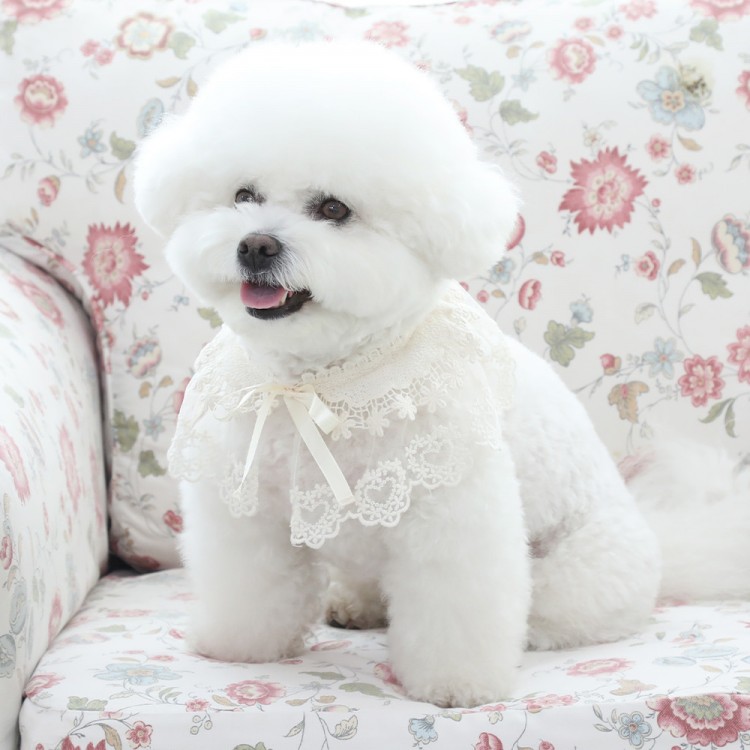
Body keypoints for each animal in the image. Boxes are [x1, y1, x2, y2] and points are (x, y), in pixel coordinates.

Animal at [134, 41, 749, 707]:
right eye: (243, 195)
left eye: (333, 209)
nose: (255, 246)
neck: (325, 383)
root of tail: (662, 544)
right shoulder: (248, 509)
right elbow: (253, 586)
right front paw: (240, 645)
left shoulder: (454, 521)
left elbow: (455, 608)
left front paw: (456, 685)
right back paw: (355, 604)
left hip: (584, 567)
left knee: (557, 610)